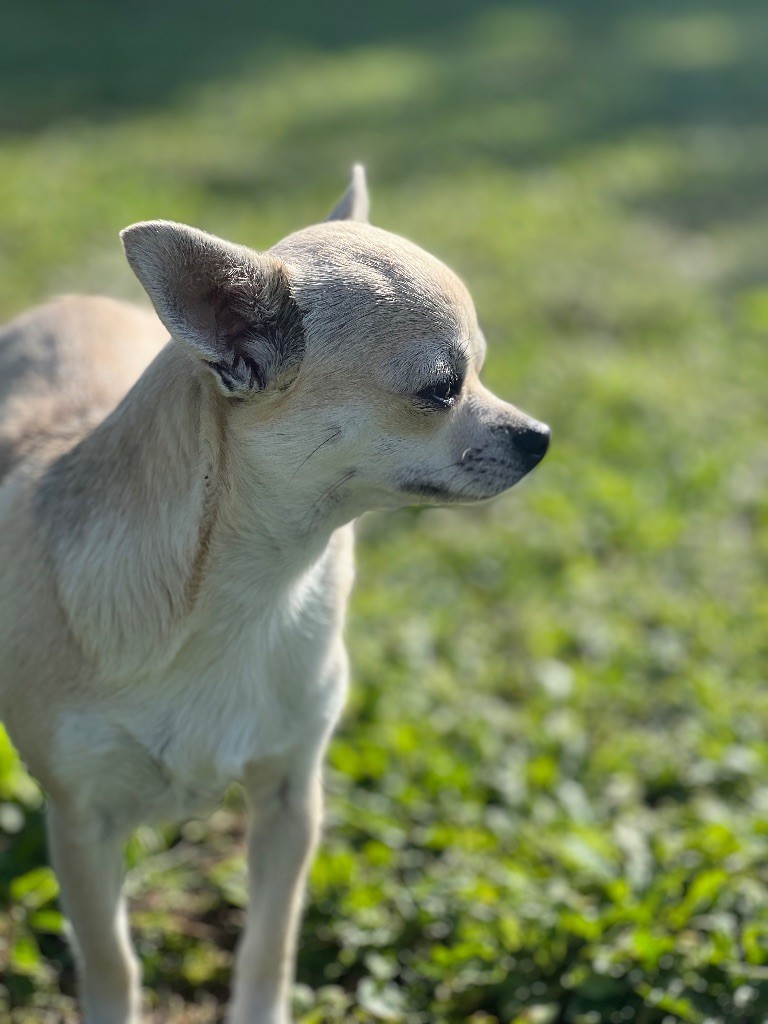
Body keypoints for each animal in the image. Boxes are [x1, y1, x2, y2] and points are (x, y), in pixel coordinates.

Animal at [0, 169, 552, 1024]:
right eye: (442, 389)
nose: (539, 436)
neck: (254, 589)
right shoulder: (82, 824)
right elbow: (112, 963)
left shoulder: (291, 799)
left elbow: (268, 944)